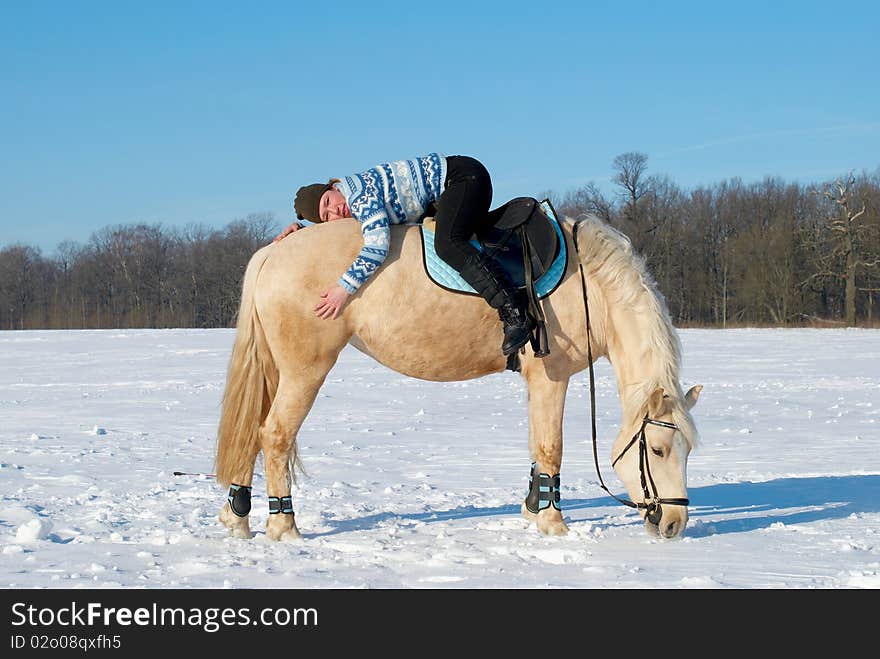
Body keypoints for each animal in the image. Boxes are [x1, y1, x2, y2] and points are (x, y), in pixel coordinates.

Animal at [213, 214, 700, 544]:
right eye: (658, 450)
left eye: (688, 450)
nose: (674, 523)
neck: (591, 286)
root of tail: (273, 252)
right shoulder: (552, 377)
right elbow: (551, 448)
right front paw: (552, 522)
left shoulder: (536, 382)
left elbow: (535, 447)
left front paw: (531, 510)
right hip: (304, 371)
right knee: (275, 435)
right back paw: (284, 525)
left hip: (276, 371)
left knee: (252, 434)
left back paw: (238, 515)